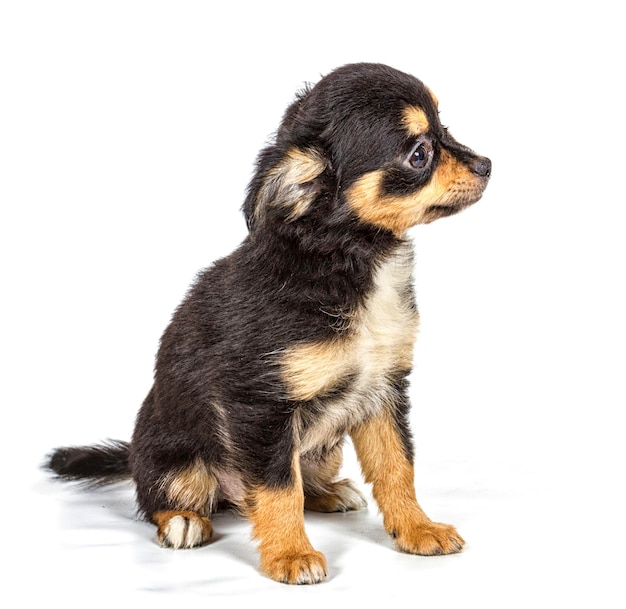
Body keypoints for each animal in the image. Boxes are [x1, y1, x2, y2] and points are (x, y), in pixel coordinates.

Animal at [46, 63, 490, 584]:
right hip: (177, 464)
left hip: (326, 448)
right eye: (419, 153)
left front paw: (418, 529)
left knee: (299, 482)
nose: (487, 164)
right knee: (163, 496)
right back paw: (184, 520)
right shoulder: (259, 406)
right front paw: (291, 554)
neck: (352, 260)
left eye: (445, 128)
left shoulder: (383, 390)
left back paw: (330, 493)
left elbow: (397, 467)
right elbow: (279, 489)